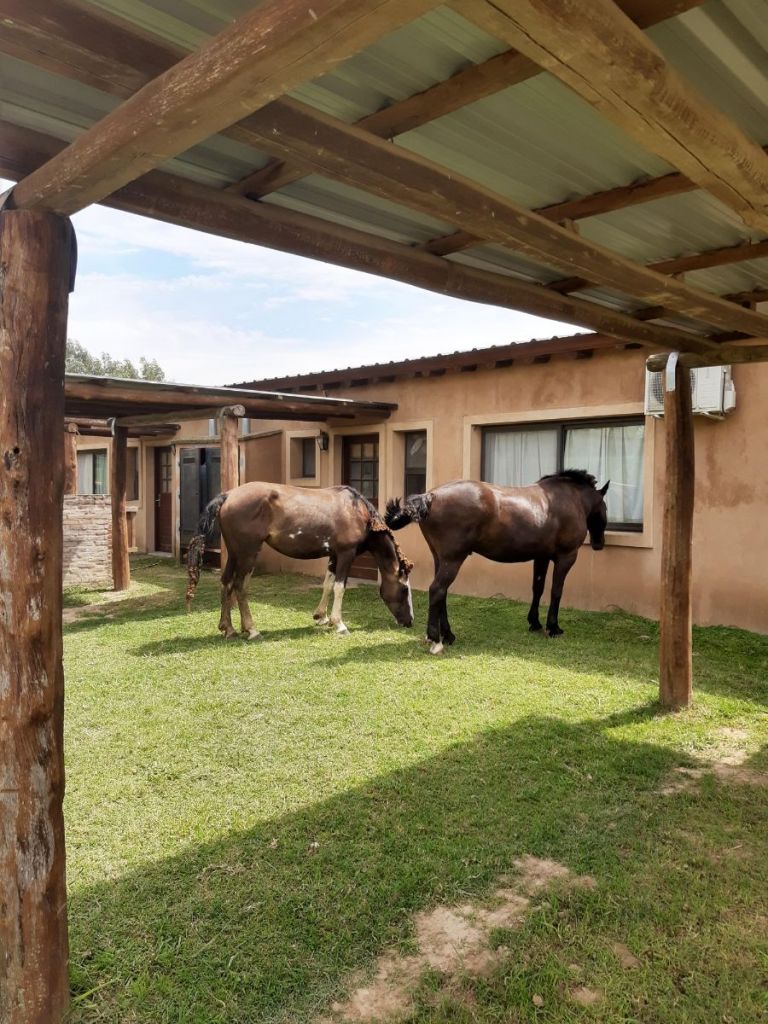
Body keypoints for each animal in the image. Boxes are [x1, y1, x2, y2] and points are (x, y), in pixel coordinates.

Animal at [185, 482, 414, 639]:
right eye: (404, 590)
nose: (410, 621)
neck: (357, 511)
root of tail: (228, 495)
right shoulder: (346, 554)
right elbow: (339, 587)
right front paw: (339, 623)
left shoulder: (334, 555)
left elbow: (328, 584)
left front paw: (321, 617)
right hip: (247, 553)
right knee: (240, 586)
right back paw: (251, 629)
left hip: (234, 553)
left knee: (226, 583)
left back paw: (229, 628)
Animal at [385, 470, 609, 655]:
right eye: (604, 508)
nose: (599, 544)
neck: (570, 499)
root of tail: (430, 496)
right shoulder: (565, 558)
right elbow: (556, 591)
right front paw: (553, 627)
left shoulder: (541, 557)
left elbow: (537, 588)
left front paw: (534, 622)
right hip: (453, 560)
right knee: (437, 590)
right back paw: (435, 639)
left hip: (440, 559)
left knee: (442, 594)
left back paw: (447, 635)